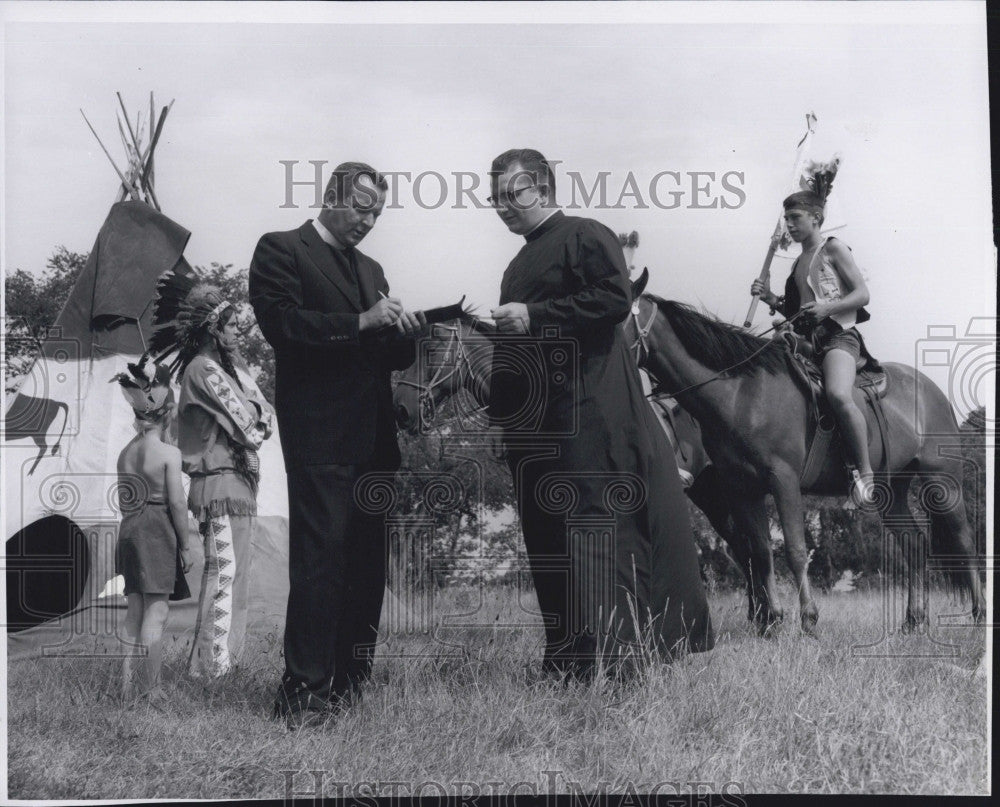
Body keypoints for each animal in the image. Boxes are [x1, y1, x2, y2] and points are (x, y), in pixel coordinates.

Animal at [624, 280, 984, 636]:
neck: (740, 394)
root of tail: (931, 390)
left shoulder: (783, 481)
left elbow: (795, 551)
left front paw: (808, 620)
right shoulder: (741, 489)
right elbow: (760, 552)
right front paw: (771, 622)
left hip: (942, 481)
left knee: (964, 541)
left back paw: (978, 614)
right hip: (891, 492)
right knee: (914, 545)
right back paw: (913, 619)